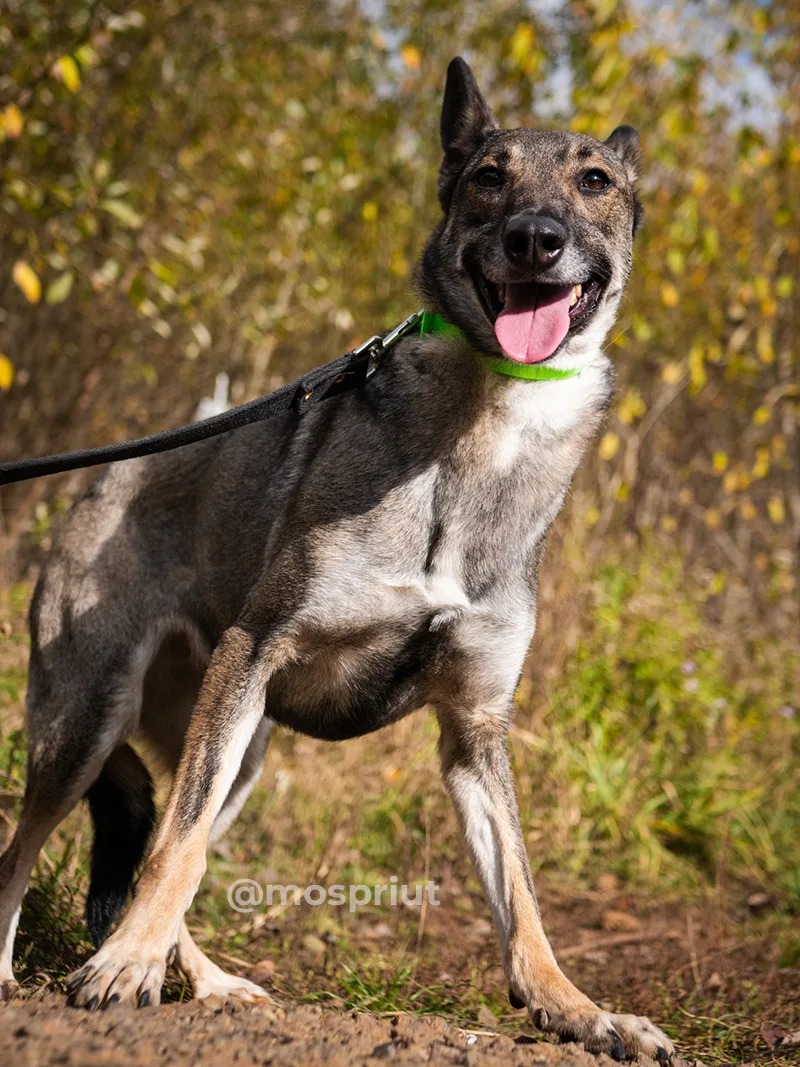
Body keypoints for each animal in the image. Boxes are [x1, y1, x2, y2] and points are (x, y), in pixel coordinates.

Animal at [0, 56, 678, 1058]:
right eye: (490, 176)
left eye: (594, 181)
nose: (536, 239)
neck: (483, 435)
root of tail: (98, 479)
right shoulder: (256, 650)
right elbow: (175, 849)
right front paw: (122, 965)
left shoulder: (475, 733)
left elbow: (522, 898)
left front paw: (580, 1009)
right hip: (95, 722)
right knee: (43, 850)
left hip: (239, 750)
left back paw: (202, 978)